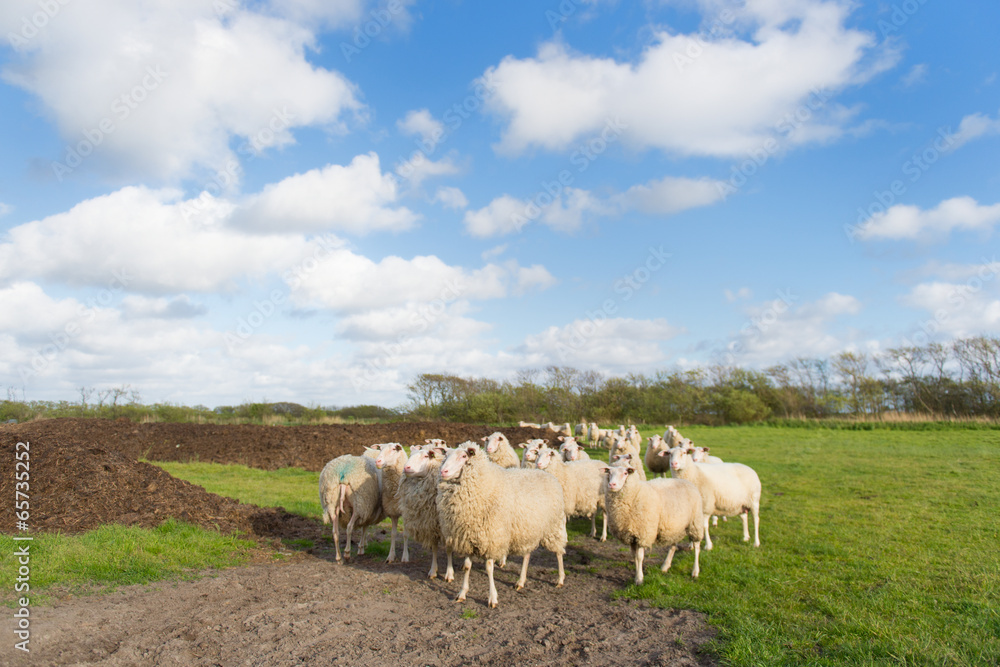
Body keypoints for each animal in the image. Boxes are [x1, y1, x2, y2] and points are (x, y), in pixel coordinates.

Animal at [396, 446, 462, 580]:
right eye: (411, 455)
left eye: (426, 456)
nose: (406, 467)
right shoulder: (431, 525)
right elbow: (434, 548)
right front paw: (433, 570)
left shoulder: (448, 526)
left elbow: (448, 549)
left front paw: (449, 573)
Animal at [440, 440, 572, 608]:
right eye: (446, 456)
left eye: (464, 456)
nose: (443, 471)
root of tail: (548, 475)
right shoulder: (469, 538)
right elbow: (467, 566)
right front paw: (462, 593)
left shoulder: (492, 537)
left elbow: (489, 568)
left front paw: (492, 598)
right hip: (528, 529)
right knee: (527, 555)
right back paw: (520, 581)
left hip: (554, 526)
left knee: (559, 553)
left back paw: (560, 579)